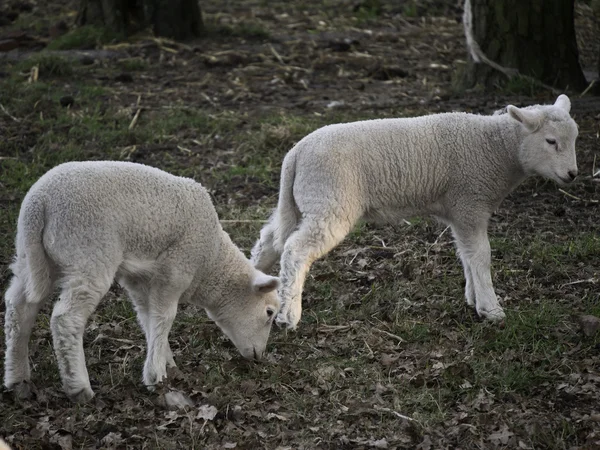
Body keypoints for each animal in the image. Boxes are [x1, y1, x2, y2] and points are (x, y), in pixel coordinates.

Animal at [3, 161, 280, 400]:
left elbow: (147, 317)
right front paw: (156, 376)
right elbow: (164, 317)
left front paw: (165, 361)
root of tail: (40, 203)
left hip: (33, 256)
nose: (259, 356)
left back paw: (18, 379)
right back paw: (78, 387)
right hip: (88, 252)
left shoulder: (138, 278)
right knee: (66, 318)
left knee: (18, 307)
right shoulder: (176, 269)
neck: (210, 260)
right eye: (269, 313)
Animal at [251, 93, 580, 328]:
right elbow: (481, 255)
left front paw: (473, 298)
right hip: (330, 201)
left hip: (301, 201)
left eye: (574, 138)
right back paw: (288, 316)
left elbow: (467, 255)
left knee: (270, 241)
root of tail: (295, 153)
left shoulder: (459, 210)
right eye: (551, 141)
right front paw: (491, 308)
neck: (497, 148)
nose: (573, 174)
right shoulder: (470, 203)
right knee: (295, 249)